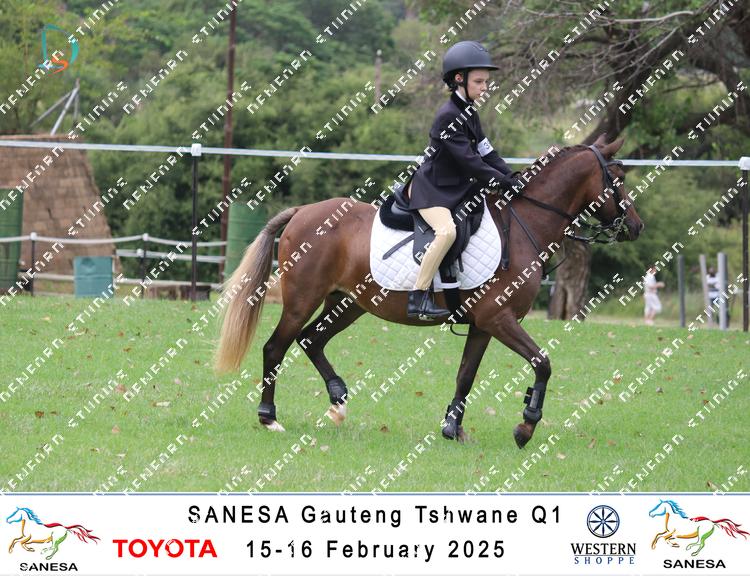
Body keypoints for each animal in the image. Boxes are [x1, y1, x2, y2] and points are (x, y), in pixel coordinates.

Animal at [214, 134, 643, 448]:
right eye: (619, 180)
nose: (636, 227)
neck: (524, 224)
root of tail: (302, 211)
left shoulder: (483, 324)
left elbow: (465, 375)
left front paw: (453, 430)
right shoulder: (499, 318)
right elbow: (543, 363)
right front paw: (525, 427)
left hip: (349, 304)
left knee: (311, 341)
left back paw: (338, 402)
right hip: (302, 300)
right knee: (276, 347)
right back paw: (269, 417)